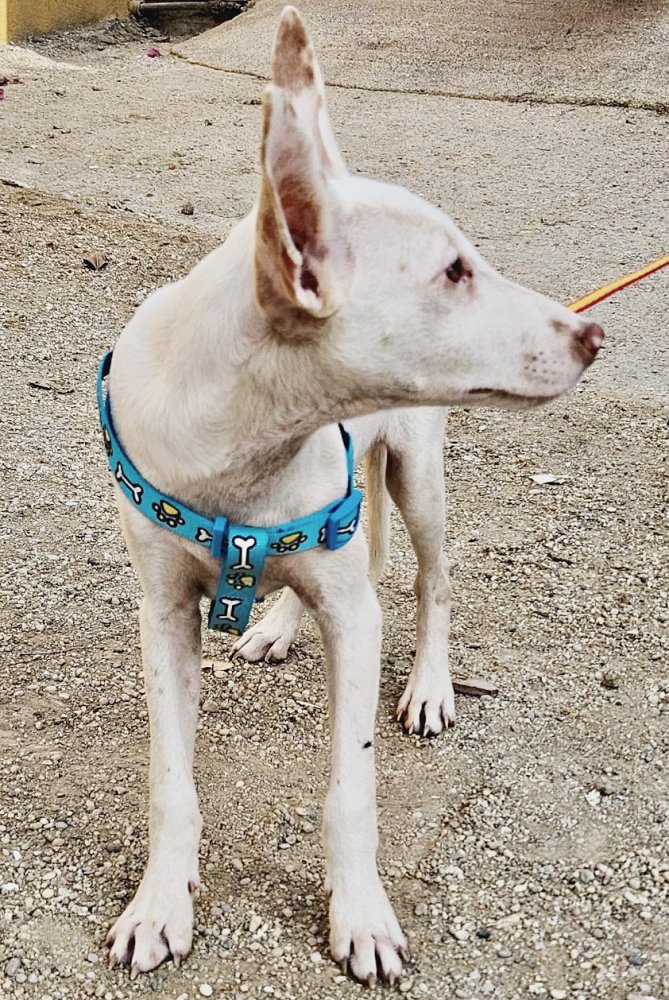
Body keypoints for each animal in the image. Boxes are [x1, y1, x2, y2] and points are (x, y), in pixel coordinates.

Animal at [103, 5, 603, 984]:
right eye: (453, 272)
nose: (592, 334)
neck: (247, 441)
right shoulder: (163, 612)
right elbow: (170, 780)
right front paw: (160, 901)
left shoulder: (355, 618)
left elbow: (350, 787)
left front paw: (362, 915)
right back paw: (275, 625)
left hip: (418, 473)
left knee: (427, 578)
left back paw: (430, 687)